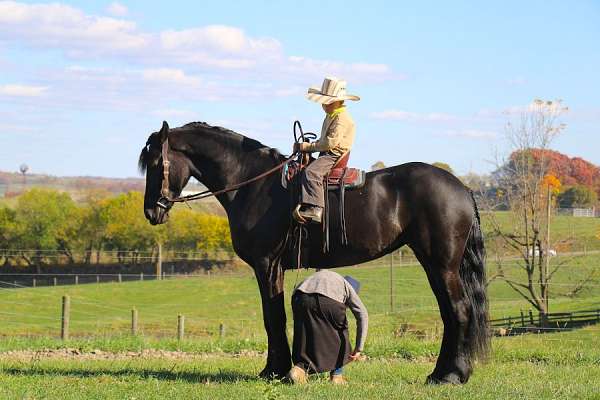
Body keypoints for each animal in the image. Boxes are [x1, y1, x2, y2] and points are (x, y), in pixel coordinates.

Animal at [143, 120, 490, 382]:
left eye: (157, 163)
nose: (151, 211)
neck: (252, 183)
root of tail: (462, 188)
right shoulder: (273, 268)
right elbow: (275, 317)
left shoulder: (267, 265)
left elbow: (273, 317)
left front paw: (274, 370)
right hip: (435, 264)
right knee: (451, 313)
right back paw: (444, 372)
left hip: (441, 265)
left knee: (459, 310)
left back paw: (451, 375)